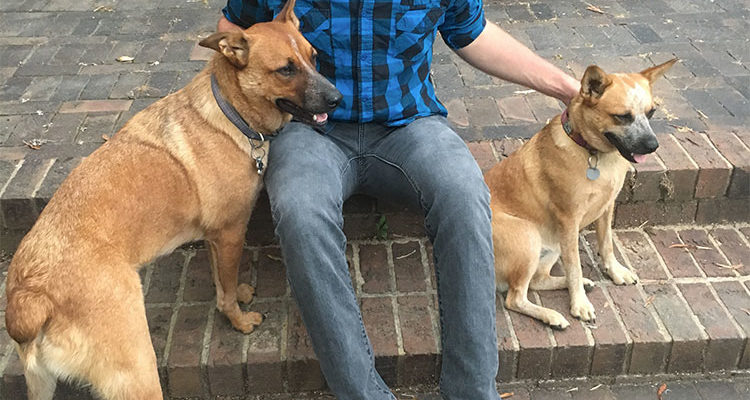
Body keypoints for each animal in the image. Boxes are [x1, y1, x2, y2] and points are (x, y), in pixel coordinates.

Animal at [4, 0, 341, 398]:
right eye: (286, 69)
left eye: (313, 57)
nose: (338, 98)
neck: (230, 110)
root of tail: (31, 295)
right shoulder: (231, 234)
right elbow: (225, 291)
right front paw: (239, 321)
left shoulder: (215, 239)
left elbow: (222, 282)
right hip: (138, 373)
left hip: (42, 385)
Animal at [485, 59, 676, 329]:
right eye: (622, 117)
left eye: (651, 113)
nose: (653, 146)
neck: (594, 154)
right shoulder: (569, 220)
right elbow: (574, 265)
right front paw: (580, 304)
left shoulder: (607, 207)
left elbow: (606, 245)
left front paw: (614, 272)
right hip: (528, 236)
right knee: (515, 298)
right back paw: (553, 315)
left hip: (552, 247)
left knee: (537, 282)